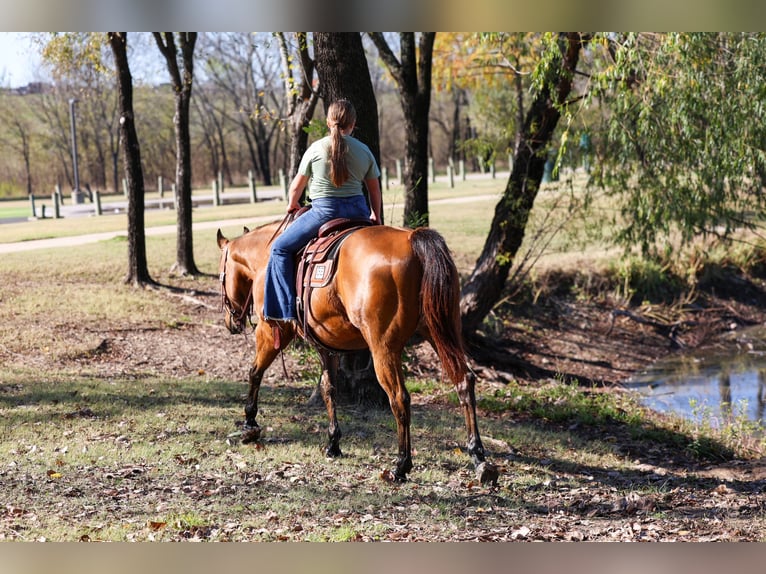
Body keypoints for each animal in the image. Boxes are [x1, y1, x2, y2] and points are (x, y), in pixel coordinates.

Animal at [216, 219, 499, 484]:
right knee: (464, 381)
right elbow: (328, 389)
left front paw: (249, 424)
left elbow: (255, 372)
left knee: (399, 398)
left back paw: (401, 465)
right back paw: (479, 458)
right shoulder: (327, 348)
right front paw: (333, 443)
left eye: (221, 275)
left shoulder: (270, 331)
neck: (266, 258)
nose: (231, 323)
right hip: (441, 332)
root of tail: (412, 239)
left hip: (384, 348)